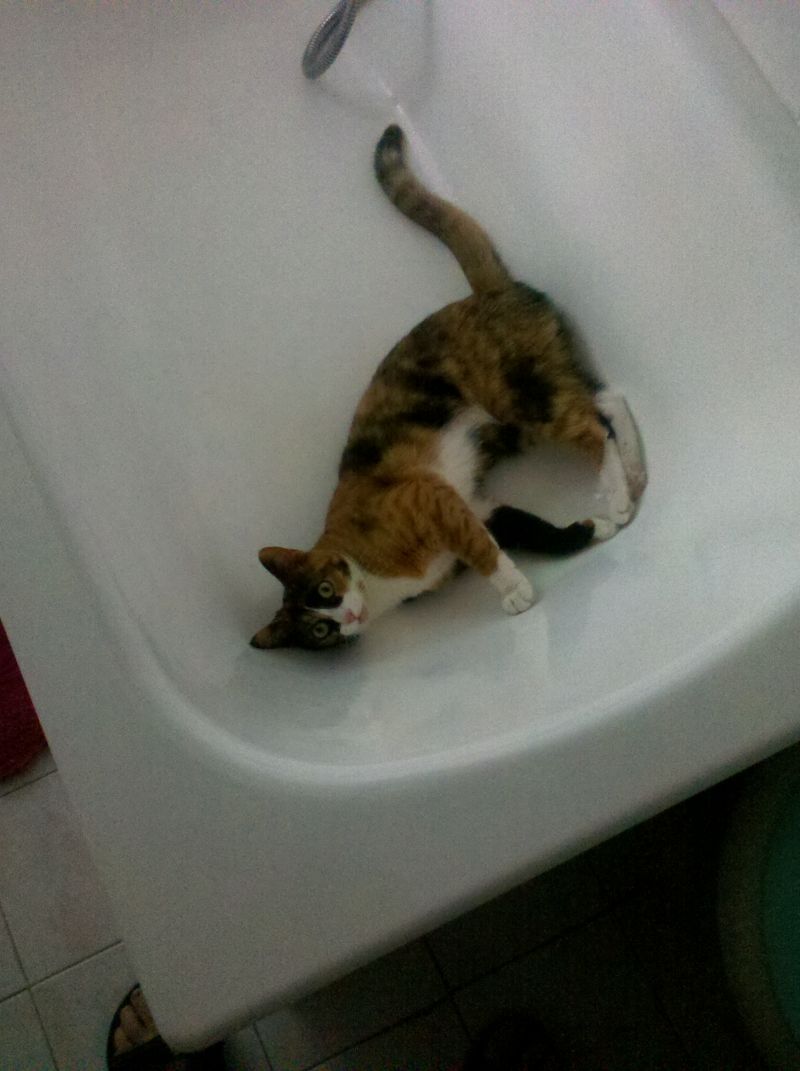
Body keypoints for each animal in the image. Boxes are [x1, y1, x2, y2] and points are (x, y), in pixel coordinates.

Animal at [251, 125, 646, 650]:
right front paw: (589, 529)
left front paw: (515, 591)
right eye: (318, 630)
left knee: (591, 427)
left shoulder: (435, 502)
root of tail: (485, 292)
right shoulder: (481, 508)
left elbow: (484, 552)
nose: (347, 619)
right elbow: (535, 531)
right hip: (528, 400)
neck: (375, 585)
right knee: (606, 399)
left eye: (324, 590)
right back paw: (634, 473)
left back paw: (617, 491)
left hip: (514, 398)